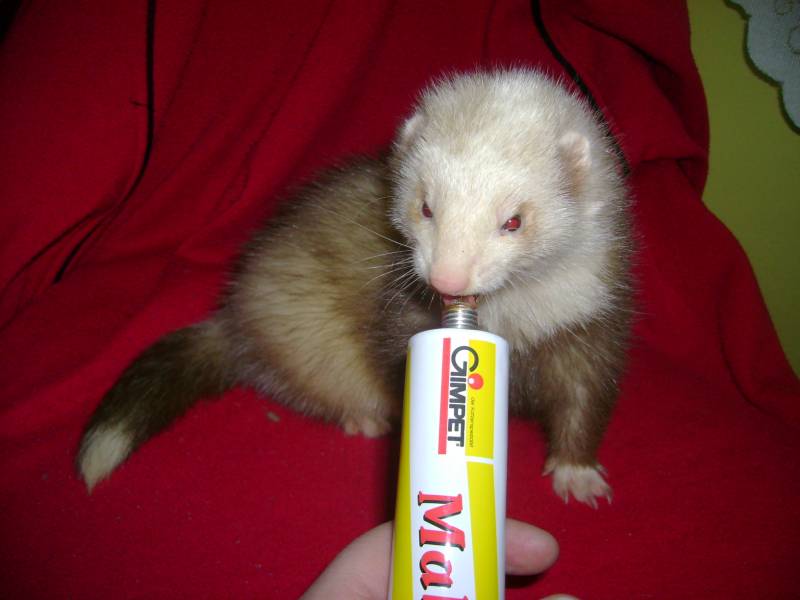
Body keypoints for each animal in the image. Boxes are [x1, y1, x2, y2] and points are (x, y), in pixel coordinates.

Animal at [78, 69, 632, 507]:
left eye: (514, 220)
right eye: (425, 205)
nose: (447, 277)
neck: (518, 322)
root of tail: (233, 318)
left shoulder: (590, 323)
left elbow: (586, 402)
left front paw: (578, 474)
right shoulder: (402, 320)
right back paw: (362, 417)